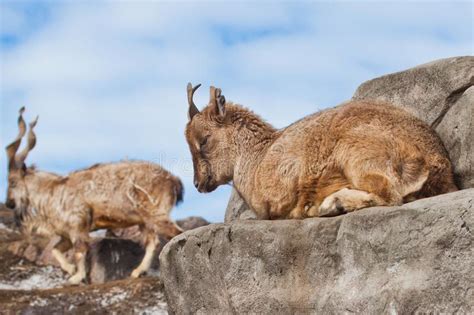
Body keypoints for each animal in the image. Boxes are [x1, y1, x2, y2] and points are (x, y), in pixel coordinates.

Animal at [5, 108, 183, 284]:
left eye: (12, 181)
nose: (8, 203)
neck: (53, 191)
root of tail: (173, 180)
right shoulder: (66, 234)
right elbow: (56, 250)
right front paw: (71, 270)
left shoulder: (77, 226)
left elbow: (79, 251)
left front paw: (77, 277)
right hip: (144, 221)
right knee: (152, 241)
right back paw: (138, 271)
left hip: (156, 214)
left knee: (174, 233)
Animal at [184, 83, 456, 220]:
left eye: (204, 140)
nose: (198, 183)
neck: (257, 156)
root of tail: (432, 164)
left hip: (358, 155)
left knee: (389, 194)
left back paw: (333, 204)